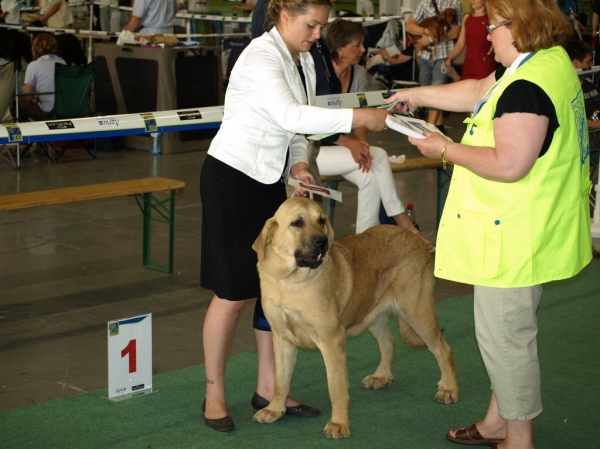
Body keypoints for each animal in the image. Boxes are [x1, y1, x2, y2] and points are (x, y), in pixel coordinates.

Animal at [251, 198, 458, 436]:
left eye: (321, 221)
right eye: (297, 223)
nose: (322, 242)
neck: (290, 281)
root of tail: (416, 238)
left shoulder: (332, 342)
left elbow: (336, 387)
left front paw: (339, 424)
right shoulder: (282, 339)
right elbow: (280, 381)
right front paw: (275, 410)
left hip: (417, 312)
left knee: (442, 349)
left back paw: (449, 389)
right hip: (373, 315)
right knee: (389, 343)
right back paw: (381, 376)